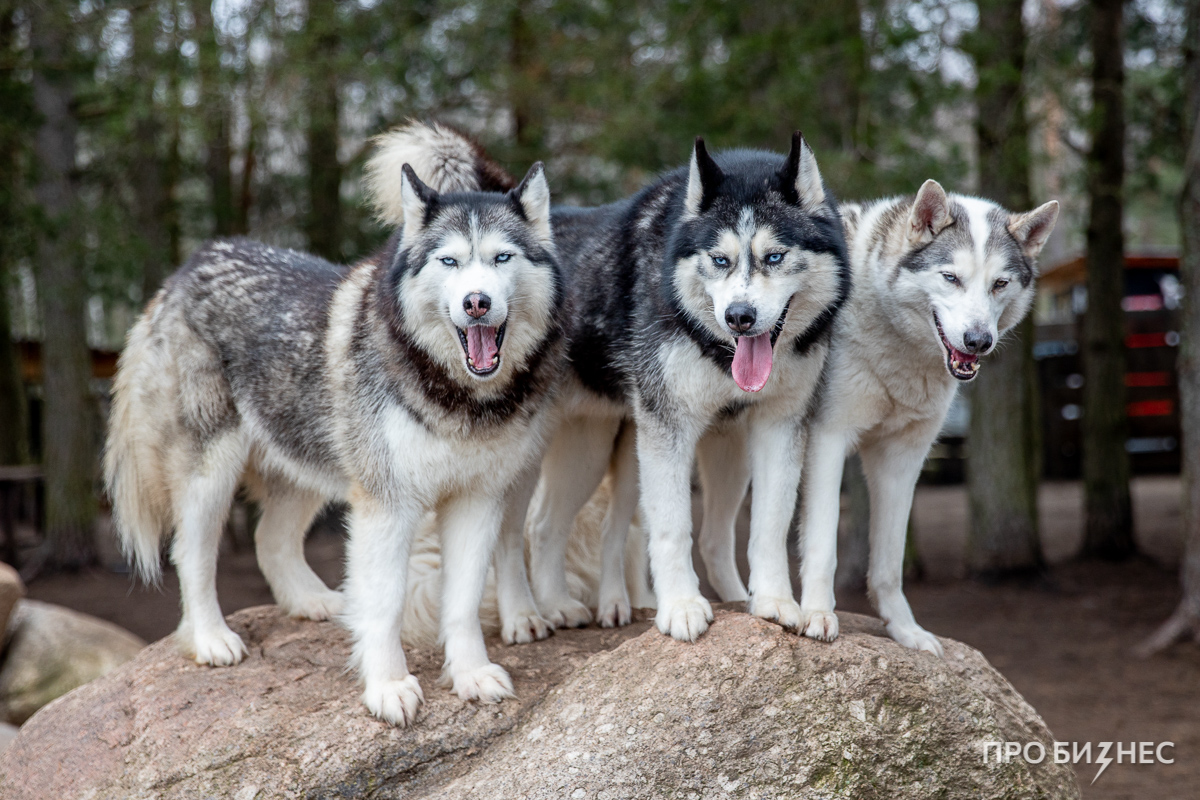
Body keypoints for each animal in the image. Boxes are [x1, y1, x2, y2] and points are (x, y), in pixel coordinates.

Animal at [104, 155, 566, 724]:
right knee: (191, 555)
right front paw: (389, 687)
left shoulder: (476, 502)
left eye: (502, 257)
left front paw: (471, 675)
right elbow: (386, 603)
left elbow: (462, 605)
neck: (456, 395)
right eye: (450, 262)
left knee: (268, 540)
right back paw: (211, 639)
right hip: (211, 473)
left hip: (305, 469)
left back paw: (313, 603)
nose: (476, 303)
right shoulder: (387, 506)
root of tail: (189, 266)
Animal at [388, 120, 849, 642]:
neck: (716, 346)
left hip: (617, 453)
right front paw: (682, 608)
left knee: (556, 528)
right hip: (527, 461)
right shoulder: (668, 429)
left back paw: (562, 605)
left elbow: (768, 529)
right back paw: (523, 616)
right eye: (720, 260)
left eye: (774, 257)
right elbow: (671, 530)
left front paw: (773, 602)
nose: (739, 316)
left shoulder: (778, 425)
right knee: (511, 536)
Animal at [700, 179, 1065, 652]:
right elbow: (823, 546)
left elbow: (889, 564)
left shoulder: (902, 460)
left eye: (999, 284)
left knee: (709, 541)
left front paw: (906, 632)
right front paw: (818, 616)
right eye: (951, 278)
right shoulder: (828, 440)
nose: (978, 340)